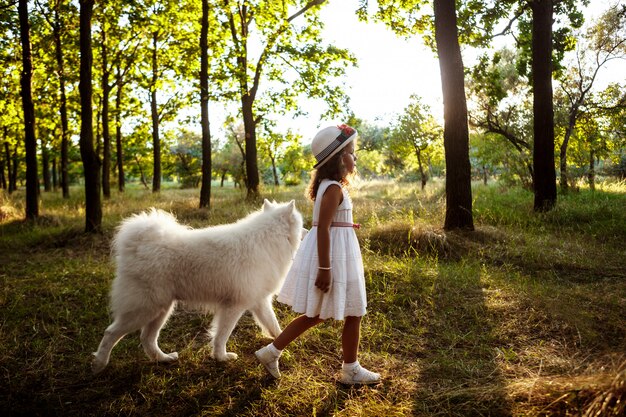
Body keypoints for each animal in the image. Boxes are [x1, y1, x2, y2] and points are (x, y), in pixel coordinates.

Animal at [91, 200, 304, 372]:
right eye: (300, 223)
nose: (307, 230)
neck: (268, 238)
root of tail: (138, 245)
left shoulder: (259, 301)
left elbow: (273, 325)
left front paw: (283, 343)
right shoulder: (234, 306)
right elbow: (222, 335)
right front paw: (221, 358)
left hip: (161, 309)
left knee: (147, 339)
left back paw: (164, 359)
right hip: (145, 309)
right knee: (111, 333)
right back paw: (99, 364)